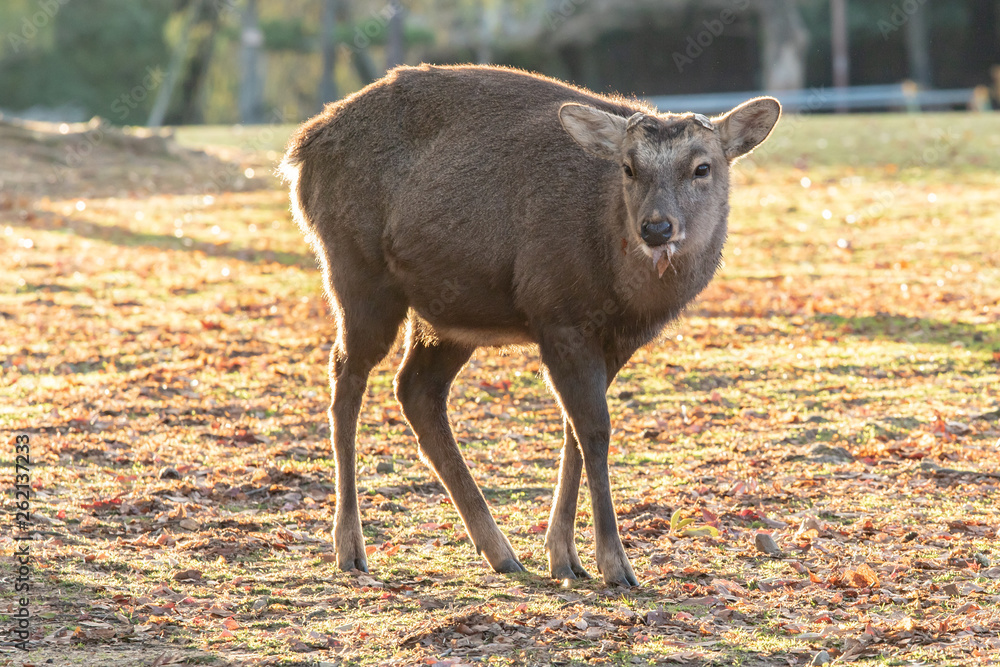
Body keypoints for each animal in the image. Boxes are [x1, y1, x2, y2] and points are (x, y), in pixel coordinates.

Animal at [281, 64, 780, 587]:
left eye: (703, 167)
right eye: (628, 167)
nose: (656, 228)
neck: (624, 287)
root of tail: (300, 152)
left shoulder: (612, 341)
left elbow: (573, 432)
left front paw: (565, 556)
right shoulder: (558, 315)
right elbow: (594, 432)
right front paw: (615, 564)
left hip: (449, 312)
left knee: (415, 388)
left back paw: (500, 551)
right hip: (357, 274)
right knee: (345, 378)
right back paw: (350, 547)